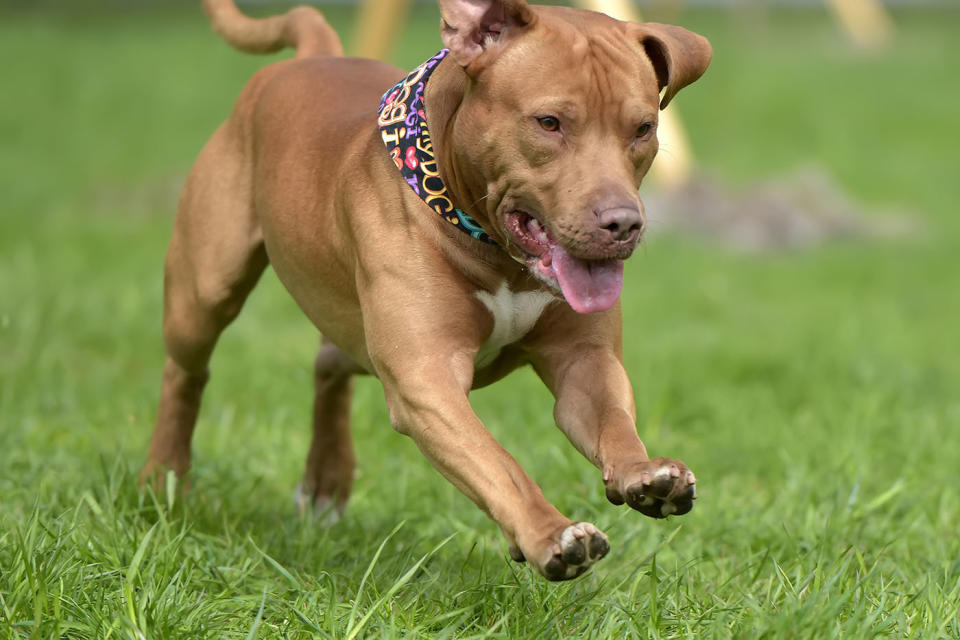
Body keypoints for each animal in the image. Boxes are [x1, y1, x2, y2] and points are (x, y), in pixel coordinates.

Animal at [142, 0, 712, 580]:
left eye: (643, 128)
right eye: (549, 122)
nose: (623, 223)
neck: (497, 251)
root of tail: (310, 57)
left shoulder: (585, 361)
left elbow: (612, 419)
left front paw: (645, 474)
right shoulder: (427, 380)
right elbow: (498, 463)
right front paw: (547, 531)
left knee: (330, 362)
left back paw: (325, 480)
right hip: (204, 294)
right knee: (185, 373)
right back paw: (163, 479)